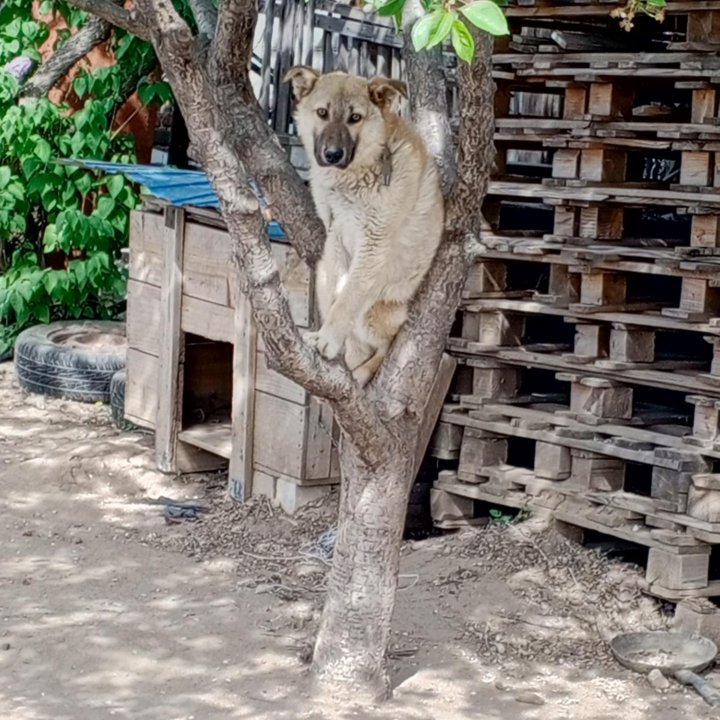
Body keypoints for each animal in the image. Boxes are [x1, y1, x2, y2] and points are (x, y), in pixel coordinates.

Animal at [282, 67, 444, 388]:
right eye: (322, 113)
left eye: (355, 117)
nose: (332, 155)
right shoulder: (334, 233)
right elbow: (336, 294)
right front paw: (328, 337)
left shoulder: (374, 245)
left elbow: (348, 298)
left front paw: (329, 339)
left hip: (376, 312)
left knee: (382, 348)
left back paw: (361, 371)